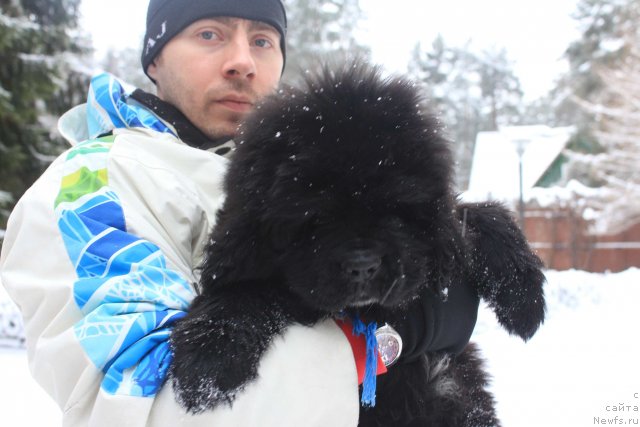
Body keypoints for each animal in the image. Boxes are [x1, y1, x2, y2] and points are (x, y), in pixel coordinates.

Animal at [170, 61, 544, 426]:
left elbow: (478, 216)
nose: (363, 266)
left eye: (395, 212)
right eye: (314, 218)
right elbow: (245, 292)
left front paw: (524, 300)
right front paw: (207, 362)